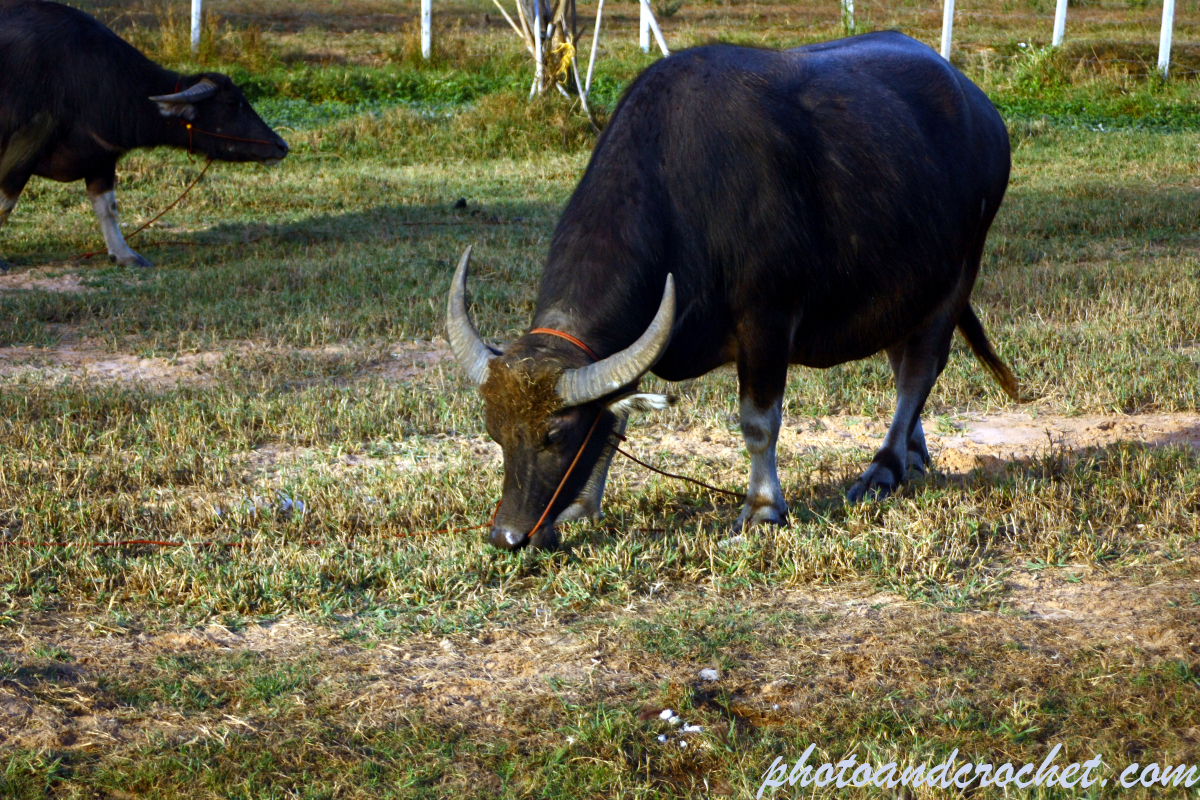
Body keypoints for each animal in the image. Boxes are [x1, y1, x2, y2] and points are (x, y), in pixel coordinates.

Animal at [0, 0, 288, 268]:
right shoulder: (23, 154)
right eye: (231, 103)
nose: (281, 146)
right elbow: (5, 205)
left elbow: (108, 208)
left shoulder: (102, 157)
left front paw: (124, 254)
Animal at [448, 32, 1019, 550]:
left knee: (917, 373)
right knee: (905, 366)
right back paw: (913, 456)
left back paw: (883, 468)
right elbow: (615, 417)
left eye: (556, 435)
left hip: (957, 277)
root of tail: (983, 111)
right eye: (495, 431)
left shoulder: (767, 322)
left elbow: (758, 423)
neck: (682, 192)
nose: (508, 536)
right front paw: (582, 507)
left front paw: (763, 509)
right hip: (908, 291)